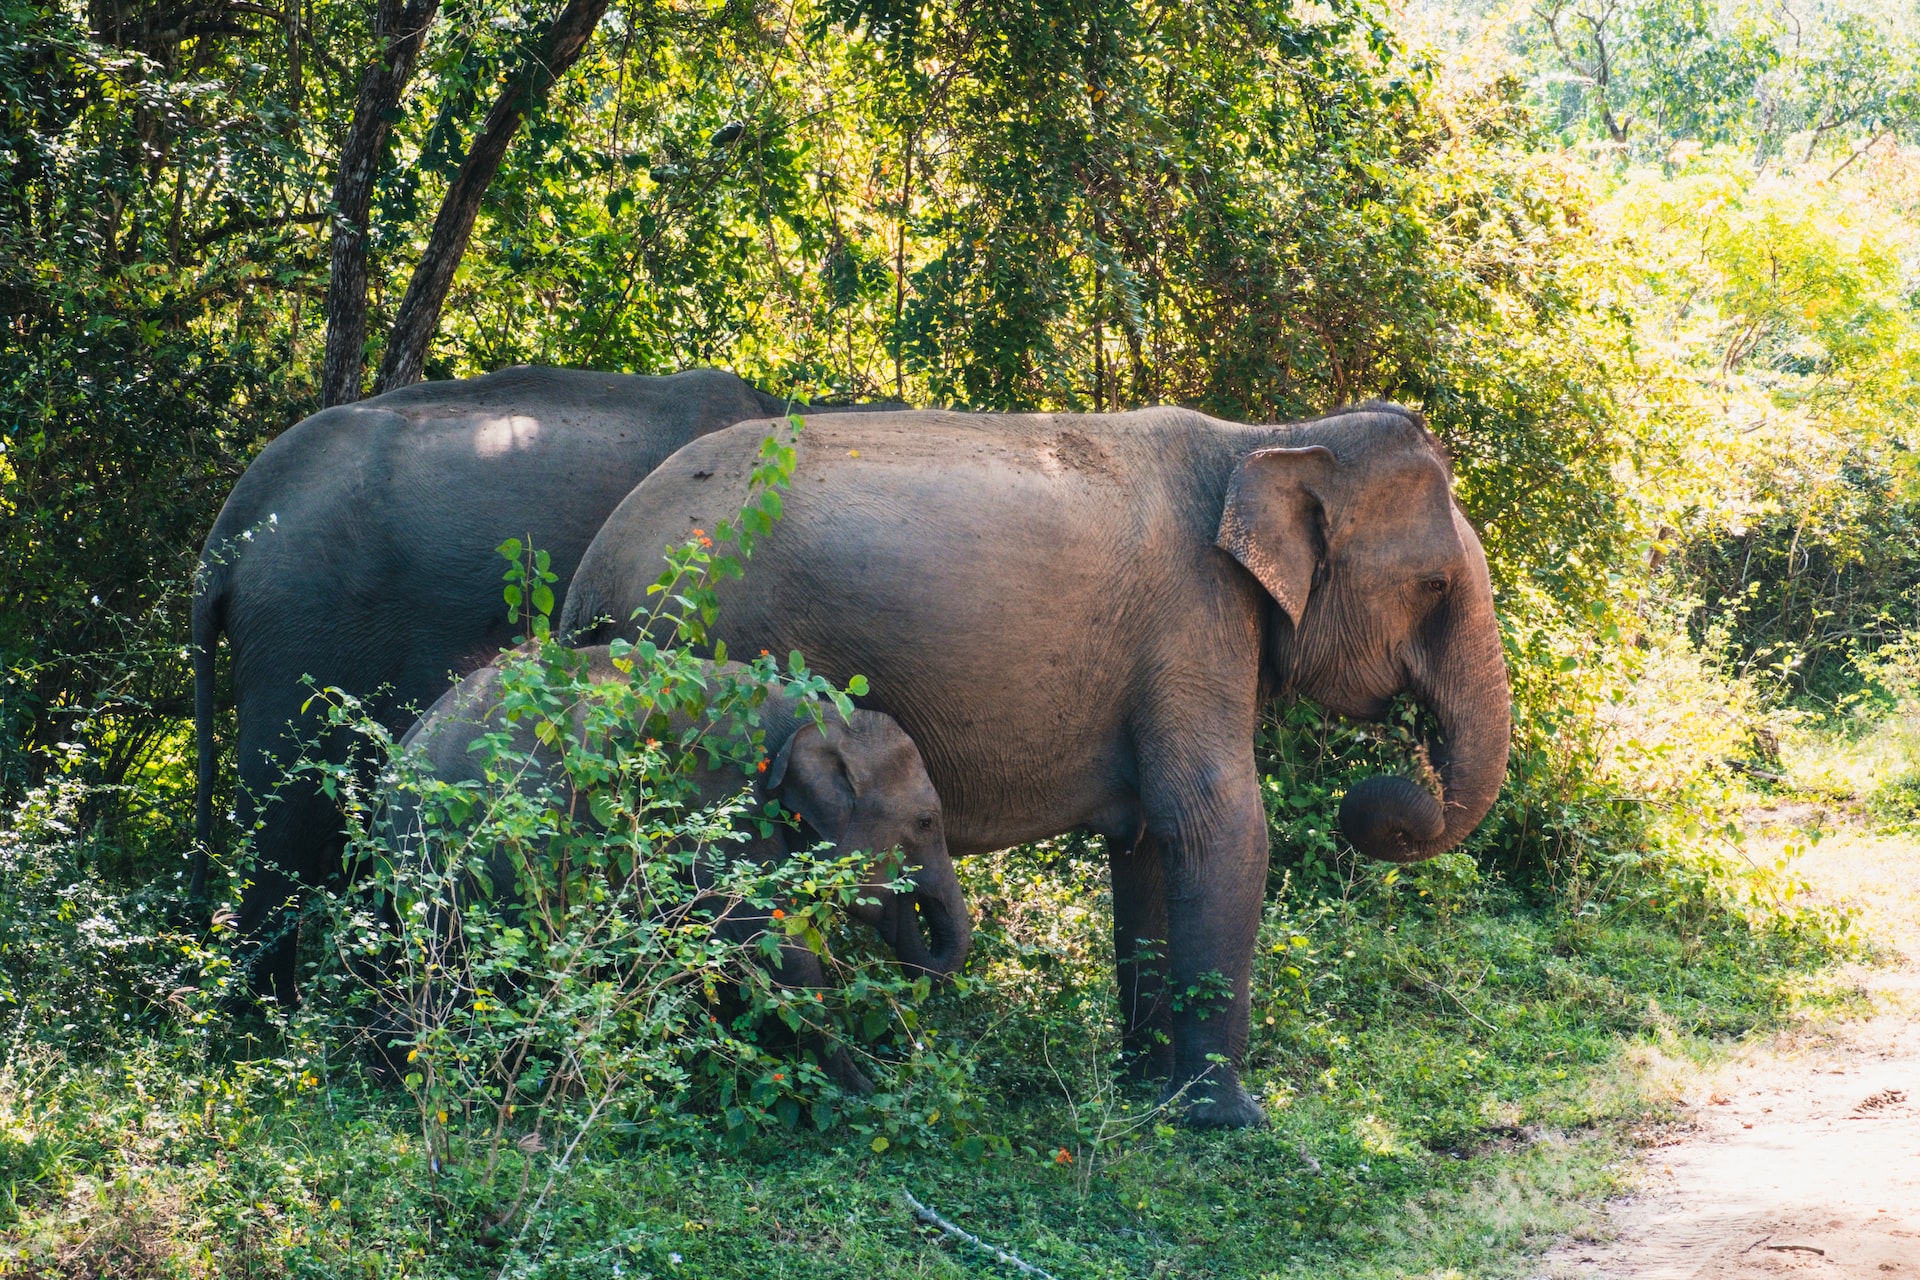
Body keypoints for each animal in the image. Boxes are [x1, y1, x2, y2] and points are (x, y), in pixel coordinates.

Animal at [560, 404, 1512, 1128]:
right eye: (1433, 586)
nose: (1379, 799)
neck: (1273, 437)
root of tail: (588, 578)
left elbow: (1151, 845)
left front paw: (1142, 1091)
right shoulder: (1194, 619)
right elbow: (1216, 822)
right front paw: (1229, 1122)